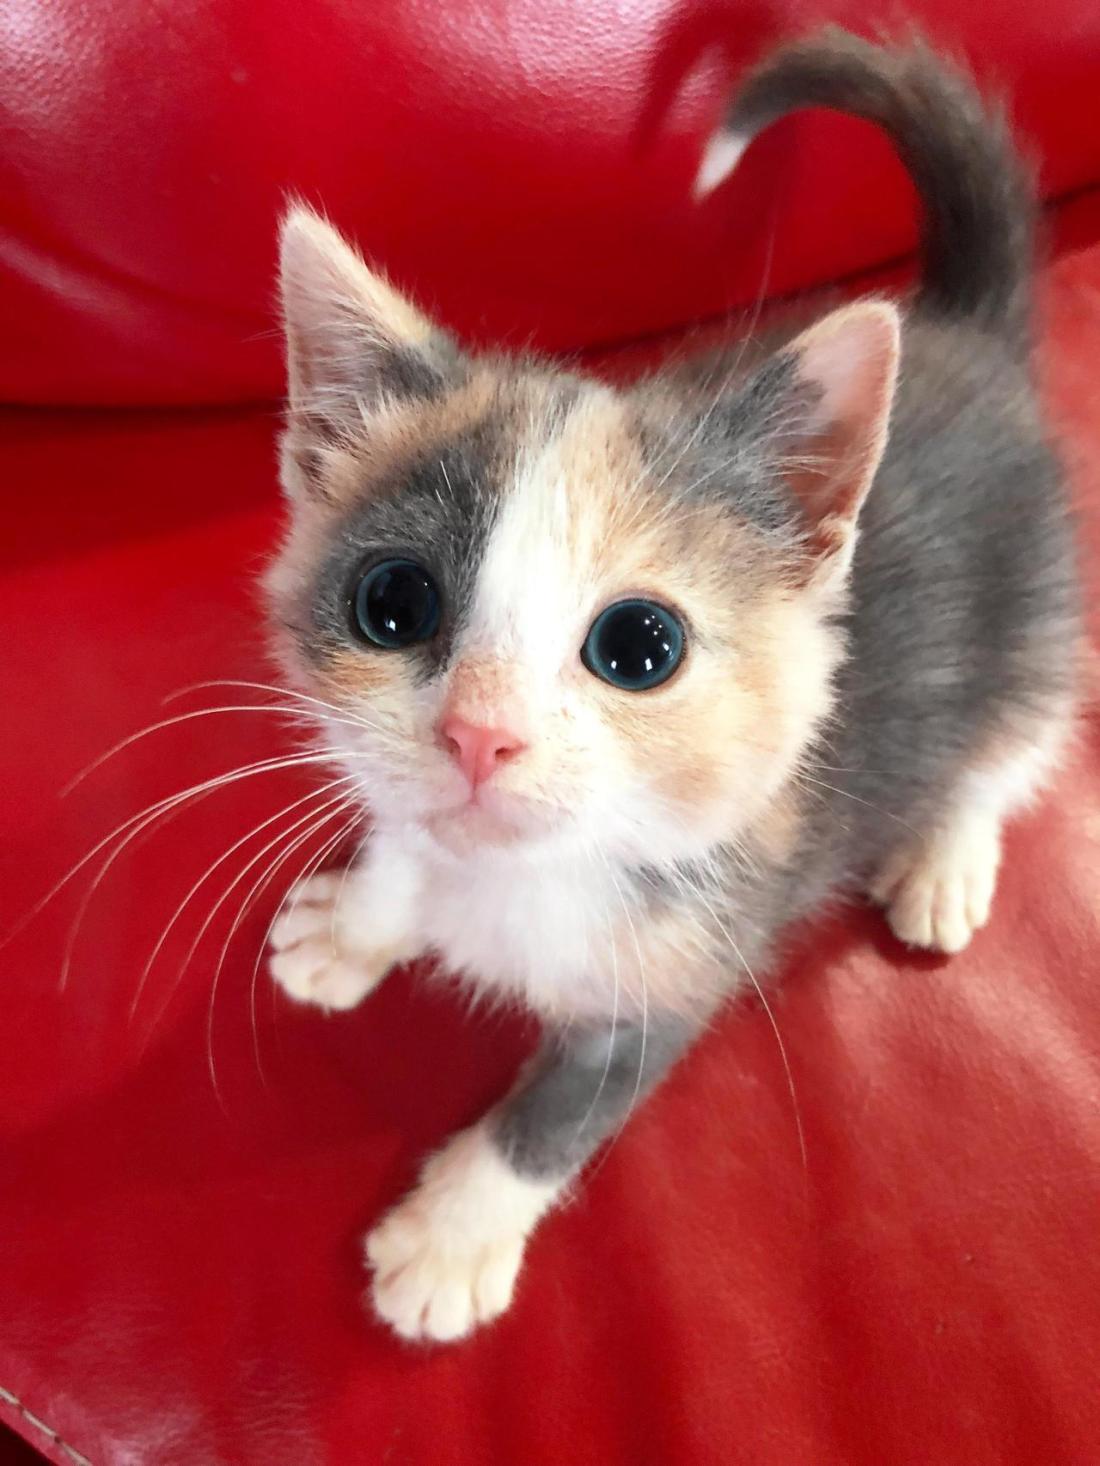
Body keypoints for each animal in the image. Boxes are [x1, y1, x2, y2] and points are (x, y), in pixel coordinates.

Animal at [263, 28, 1079, 1342]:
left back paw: (943, 855)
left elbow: (563, 1111)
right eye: (392, 603)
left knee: (1008, 738)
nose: (480, 735)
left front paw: (450, 1236)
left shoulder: (690, 961)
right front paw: (357, 920)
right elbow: (405, 843)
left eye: (638, 646)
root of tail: (965, 328)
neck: (522, 880)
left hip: (1040, 607)